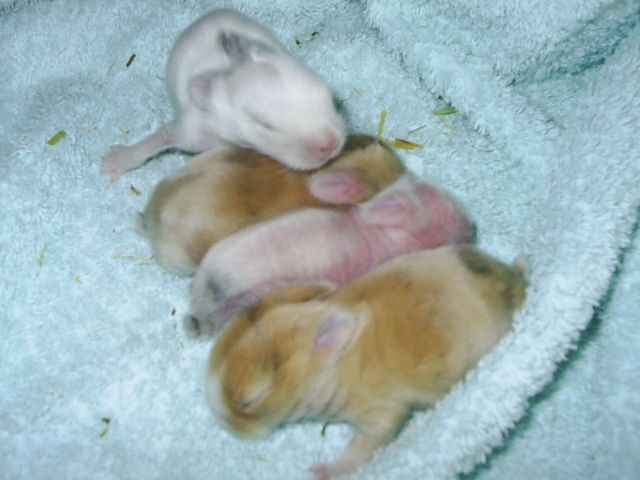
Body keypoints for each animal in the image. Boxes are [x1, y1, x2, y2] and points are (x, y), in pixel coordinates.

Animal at [101, 8, 346, 179]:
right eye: (266, 125)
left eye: (331, 99)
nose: (331, 144)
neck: (229, 68)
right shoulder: (196, 128)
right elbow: (163, 136)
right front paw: (118, 160)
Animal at [206, 245, 529, 479]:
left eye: (251, 399)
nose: (220, 420)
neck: (344, 361)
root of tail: (517, 283)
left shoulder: (382, 411)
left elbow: (364, 447)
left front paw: (322, 471)